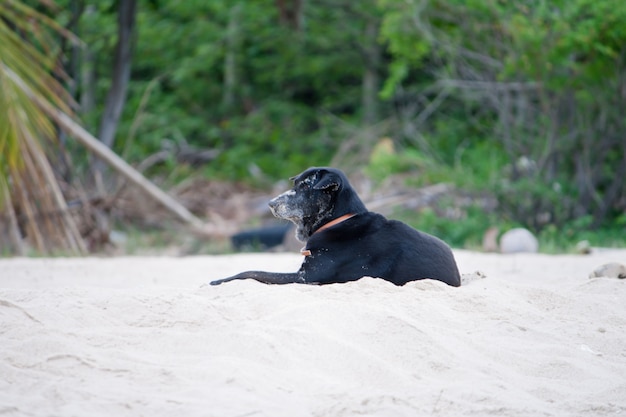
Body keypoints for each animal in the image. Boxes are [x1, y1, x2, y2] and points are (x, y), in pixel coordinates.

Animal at [210, 166, 458, 286]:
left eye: (305, 187)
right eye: (295, 184)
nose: (270, 204)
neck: (338, 222)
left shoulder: (307, 276)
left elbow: (252, 271)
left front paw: (219, 280)